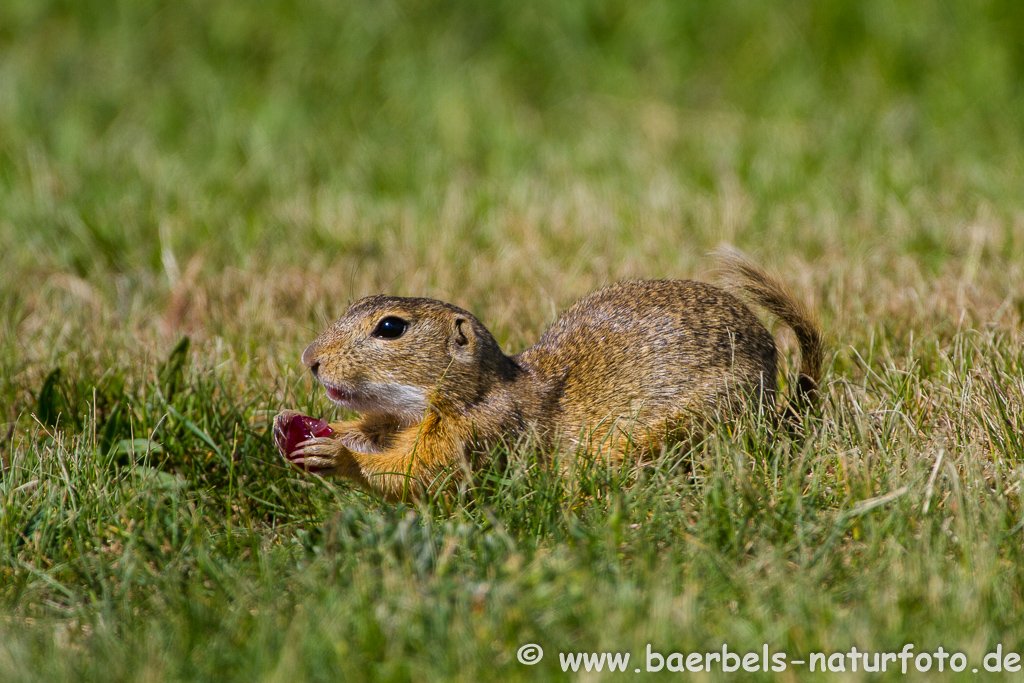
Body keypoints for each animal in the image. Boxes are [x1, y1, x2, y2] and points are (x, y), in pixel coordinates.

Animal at [274, 248, 823, 499]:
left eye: (391, 327)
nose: (309, 359)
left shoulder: (476, 431)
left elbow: (418, 474)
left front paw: (338, 457)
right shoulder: (391, 421)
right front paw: (289, 424)